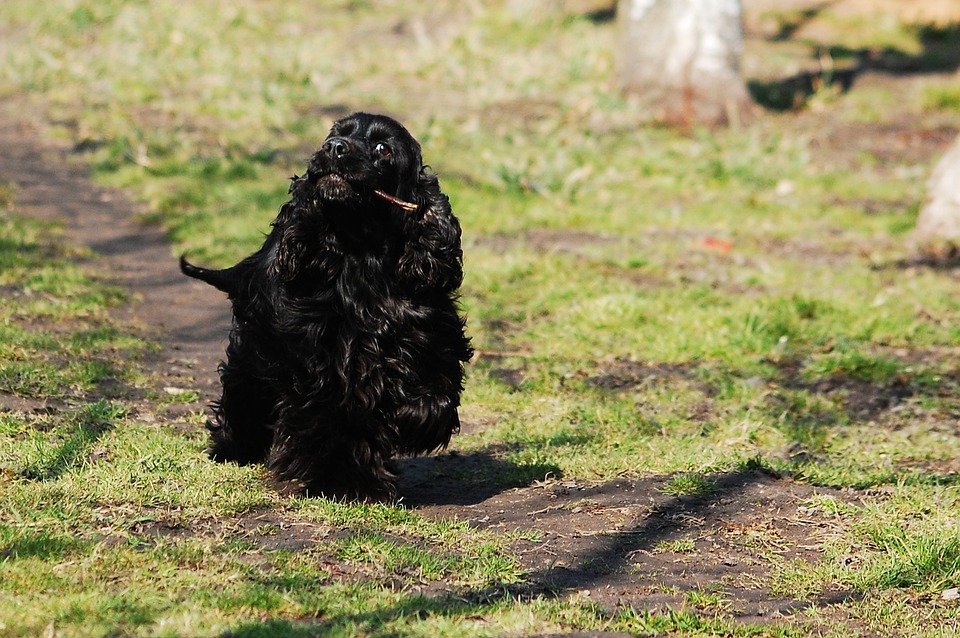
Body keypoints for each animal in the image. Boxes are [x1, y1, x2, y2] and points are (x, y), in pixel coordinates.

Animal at [180, 112, 472, 500]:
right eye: (333, 135)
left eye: (383, 148)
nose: (335, 148)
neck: (361, 255)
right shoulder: (317, 361)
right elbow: (328, 420)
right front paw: (337, 480)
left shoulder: (428, 335)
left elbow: (433, 395)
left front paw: (410, 424)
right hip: (253, 352)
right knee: (243, 395)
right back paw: (231, 449)